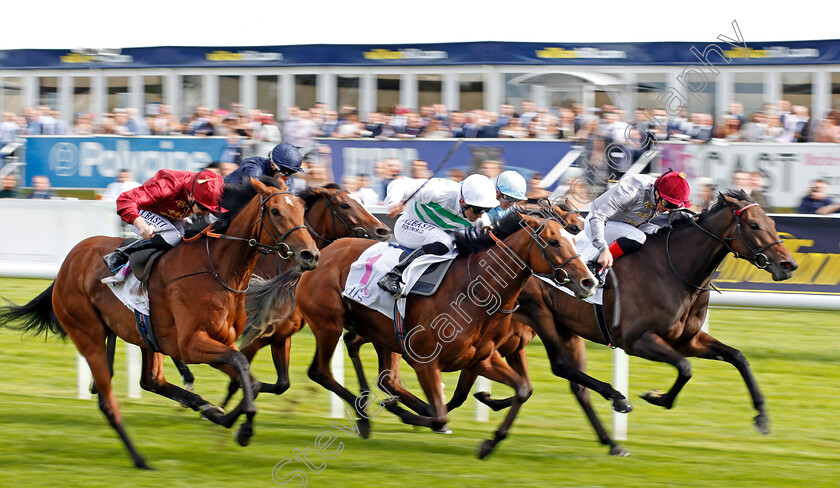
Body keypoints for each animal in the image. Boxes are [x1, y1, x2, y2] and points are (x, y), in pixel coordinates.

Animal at [0, 176, 320, 468]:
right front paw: (243, 427)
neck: (218, 268)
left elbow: (248, 379)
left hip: (146, 335)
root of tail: (66, 265)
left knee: (151, 380)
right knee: (108, 401)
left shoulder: (219, 342)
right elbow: (242, 366)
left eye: (302, 209)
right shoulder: (191, 345)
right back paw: (140, 459)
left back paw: (202, 407)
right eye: (276, 211)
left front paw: (226, 417)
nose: (311, 255)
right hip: (88, 334)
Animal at [276, 213, 632, 458]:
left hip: (379, 332)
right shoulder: (425, 360)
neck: (474, 292)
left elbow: (522, 389)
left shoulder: (482, 358)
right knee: (321, 371)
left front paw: (489, 441)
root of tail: (321, 253)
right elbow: (440, 415)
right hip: (329, 323)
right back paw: (365, 417)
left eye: (573, 239)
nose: (589, 281)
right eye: (555, 242)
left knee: (382, 375)